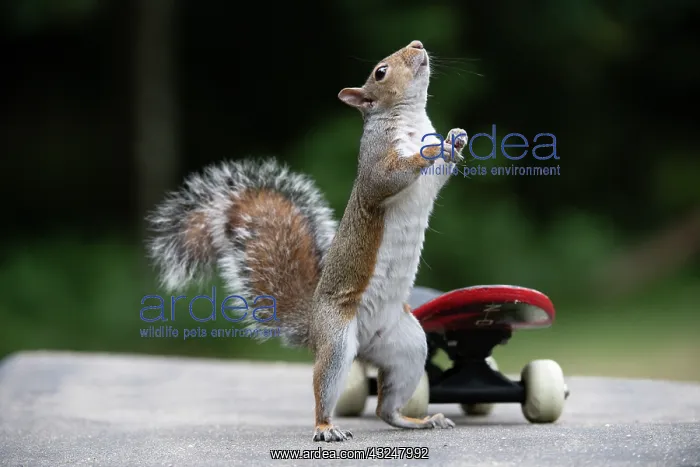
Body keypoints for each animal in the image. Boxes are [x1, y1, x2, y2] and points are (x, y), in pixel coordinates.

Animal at [146, 40, 468, 442]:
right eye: (380, 71)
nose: (418, 44)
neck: (409, 119)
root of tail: (318, 329)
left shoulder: (432, 178)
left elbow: (442, 171)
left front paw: (455, 139)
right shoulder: (376, 164)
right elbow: (388, 177)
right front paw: (428, 150)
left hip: (408, 346)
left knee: (385, 408)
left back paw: (418, 420)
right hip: (338, 341)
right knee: (325, 387)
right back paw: (326, 427)